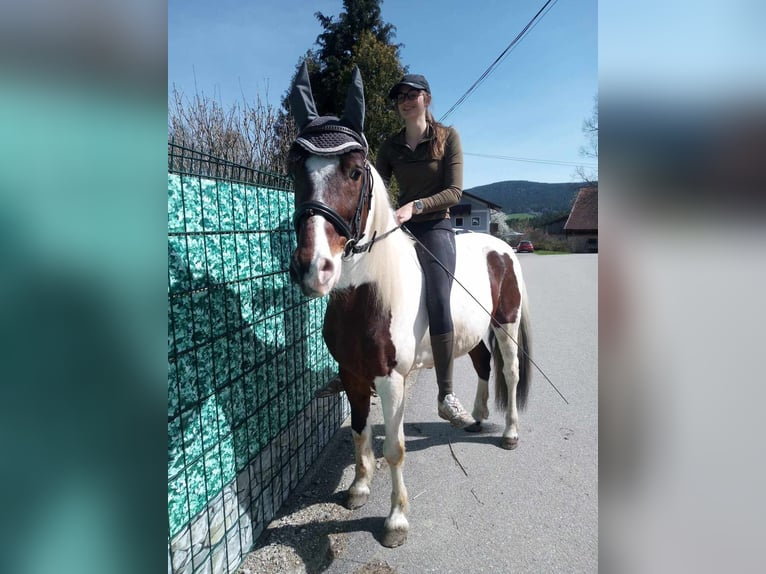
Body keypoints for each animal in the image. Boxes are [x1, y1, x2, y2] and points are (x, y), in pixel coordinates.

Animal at [284, 63, 532, 548]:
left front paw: (396, 520)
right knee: (482, 364)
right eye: (294, 168)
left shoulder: (389, 378)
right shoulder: (352, 372)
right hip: (475, 331)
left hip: (506, 323)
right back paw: (474, 417)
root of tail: (503, 247)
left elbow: (394, 447)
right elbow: (359, 431)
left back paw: (509, 433)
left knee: (510, 373)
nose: (314, 268)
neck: (369, 294)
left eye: (355, 171)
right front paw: (358, 488)